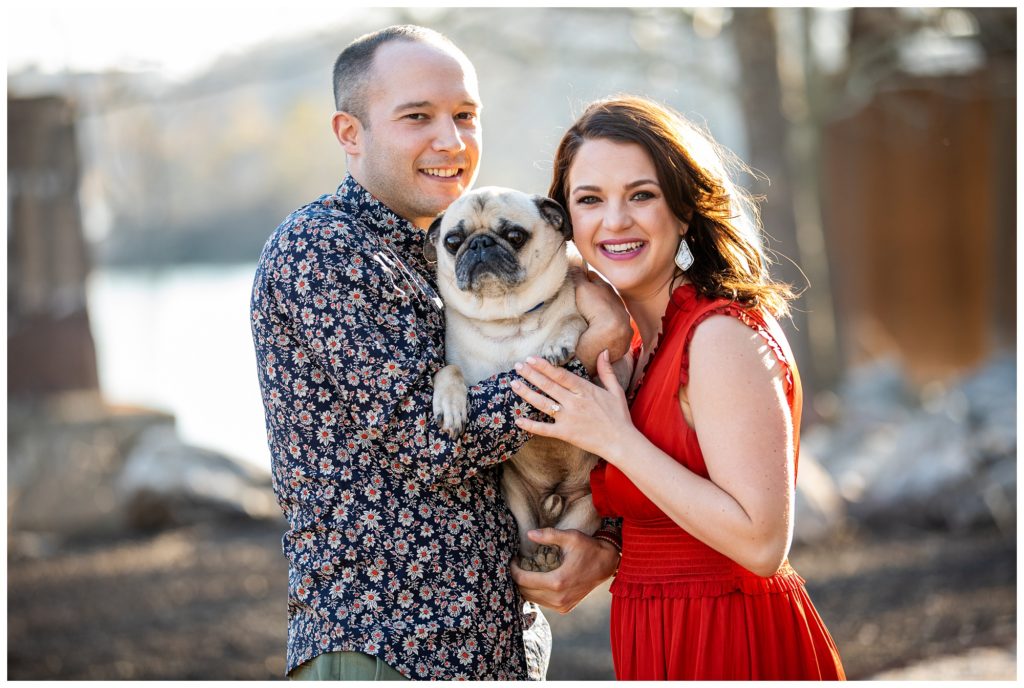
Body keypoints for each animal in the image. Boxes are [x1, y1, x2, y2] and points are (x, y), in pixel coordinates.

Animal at [423, 185, 598, 573]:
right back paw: (535, 560)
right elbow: (448, 370)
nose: (479, 243)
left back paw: (549, 557)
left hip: (587, 508)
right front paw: (450, 406)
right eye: (453, 241)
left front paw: (557, 343)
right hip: (519, 504)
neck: (507, 320)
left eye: (515, 236)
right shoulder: (453, 362)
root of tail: (553, 501)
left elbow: (572, 321)